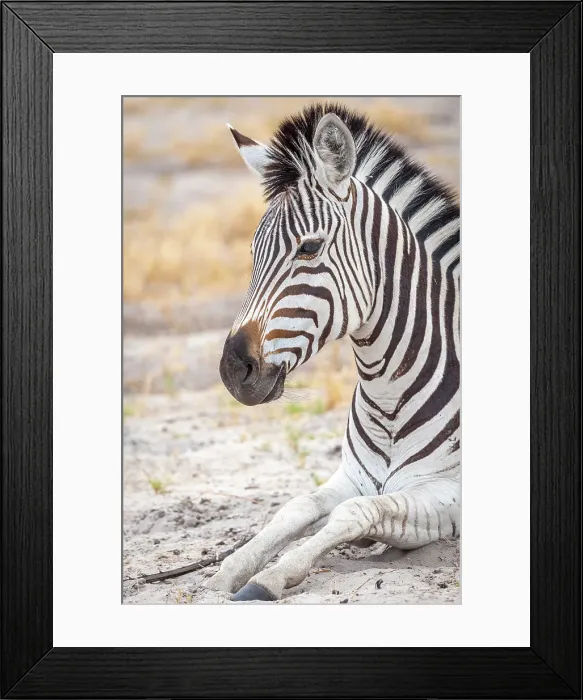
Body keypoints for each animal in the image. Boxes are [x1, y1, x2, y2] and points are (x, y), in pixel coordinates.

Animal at [206, 103, 460, 602]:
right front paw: (227, 573)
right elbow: (296, 507)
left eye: (309, 248)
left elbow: (357, 512)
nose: (232, 370)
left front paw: (268, 579)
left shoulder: (450, 494)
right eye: (253, 252)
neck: (388, 390)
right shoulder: (351, 476)